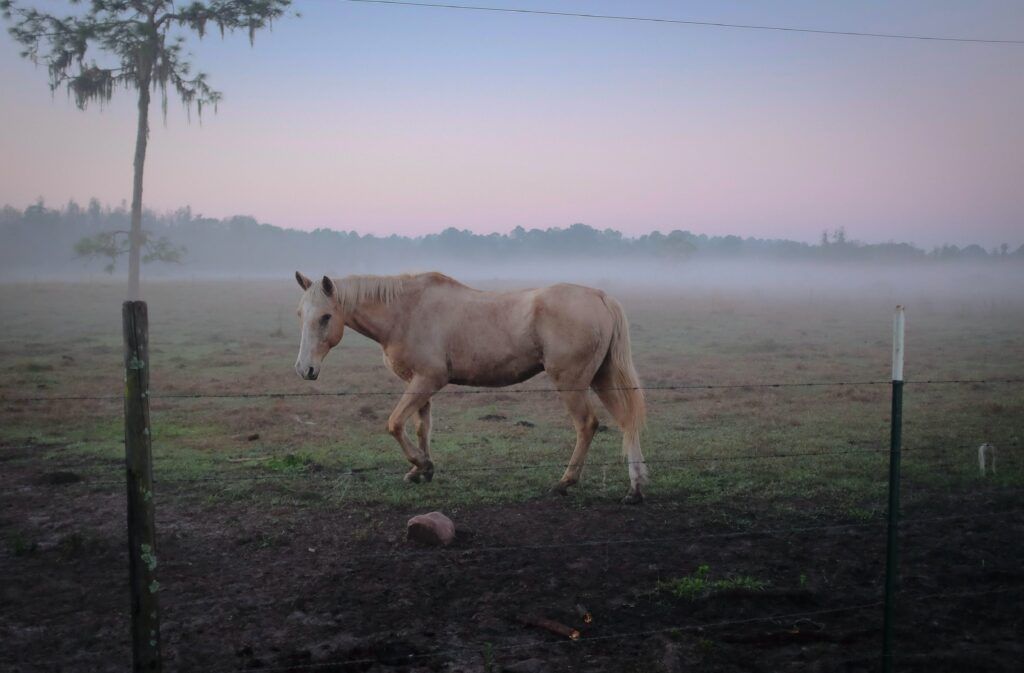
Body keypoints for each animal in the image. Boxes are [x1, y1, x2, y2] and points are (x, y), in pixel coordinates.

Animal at [296, 270, 647, 501]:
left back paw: (566, 481)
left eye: (326, 317)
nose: (304, 369)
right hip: (602, 378)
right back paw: (636, 486)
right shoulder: (419, 383)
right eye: (300, 314)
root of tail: (600, 296)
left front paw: (422, 464)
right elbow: (421, 428)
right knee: (627, 422)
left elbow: (395, 424)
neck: (406, 312)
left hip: (572, 383)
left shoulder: (428, 380)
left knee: (587, 425)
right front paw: (422, 471)